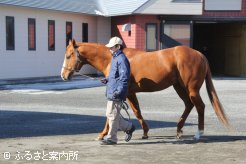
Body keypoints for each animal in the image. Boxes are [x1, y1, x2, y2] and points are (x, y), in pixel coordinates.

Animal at [60, 39, 230, 140]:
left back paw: (198, 133)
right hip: (179, 87)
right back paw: (179, 130)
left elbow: (118, 114)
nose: (63, 75)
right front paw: (144, 132)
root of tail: (200, 55)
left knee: (199, 106)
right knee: (189, 105)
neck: (112, 59)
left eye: (68, 56)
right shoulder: (129, 93)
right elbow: (136, 111)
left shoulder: (125, 92)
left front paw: (102, 135)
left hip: (191, 89)